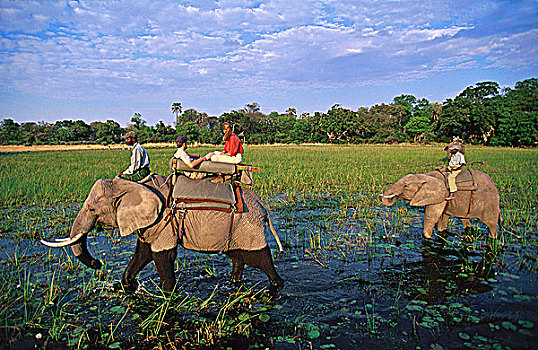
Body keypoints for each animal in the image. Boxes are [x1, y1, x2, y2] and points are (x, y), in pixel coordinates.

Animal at [40, 175, 284, 296]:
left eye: (92, 209)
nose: (98, 264)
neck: (135, 186)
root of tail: (262, 205)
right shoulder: (149, 224)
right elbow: (142, 254)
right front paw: (126, 286)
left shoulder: (164, 221)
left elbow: (161, 256)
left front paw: (168, 295)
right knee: (237, 255)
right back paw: (233, 283)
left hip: (248, 225)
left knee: (259, 257)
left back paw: (277, 285)